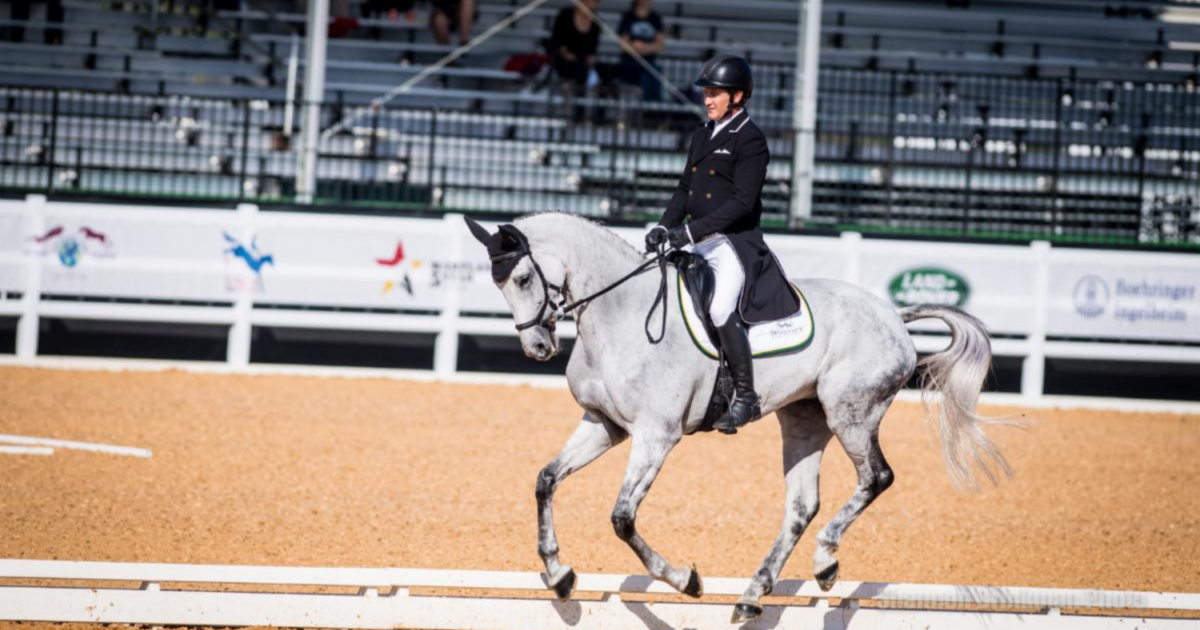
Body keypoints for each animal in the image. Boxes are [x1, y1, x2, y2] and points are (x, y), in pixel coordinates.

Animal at [463, 212, 1008, 624]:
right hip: (804, 419)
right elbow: (546, 480)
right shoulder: (605, 425)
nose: (537, 348)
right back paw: (753, 594)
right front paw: (559, 575)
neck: (618, 317)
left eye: (523, 278)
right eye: (500, 284)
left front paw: (686, 580)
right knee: (802, 505)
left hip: (852, 412)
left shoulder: (656, 437)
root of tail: (894, 316)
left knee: (876, 477)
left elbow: (622, 518)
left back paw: (825, 561)